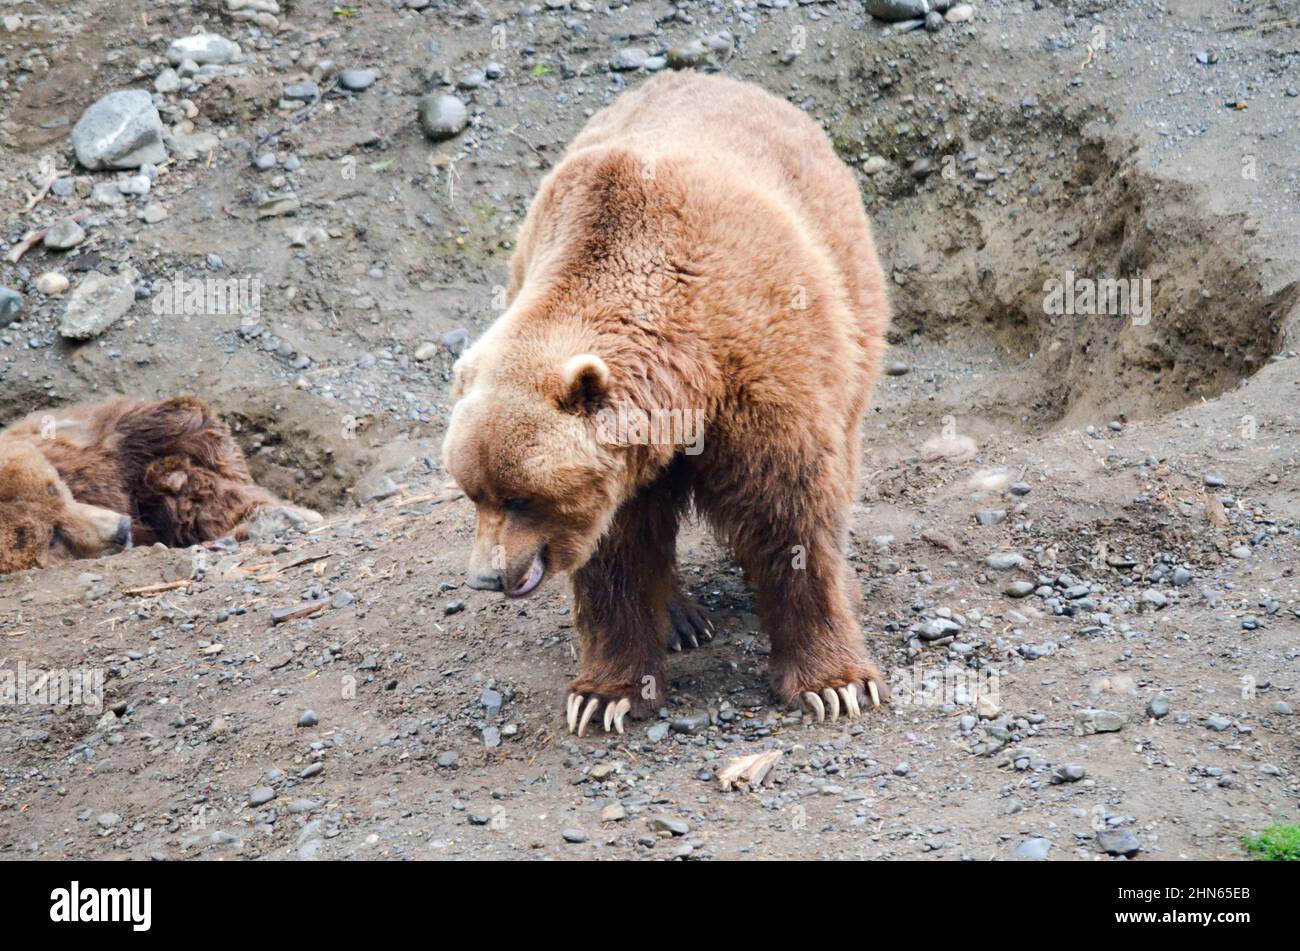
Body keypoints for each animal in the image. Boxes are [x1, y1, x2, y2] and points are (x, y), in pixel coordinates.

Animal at [441, 73, 891, 736]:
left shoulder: (760, 372)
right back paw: (681, 619)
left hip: (850, 296)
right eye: (472, 492)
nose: (486, 578)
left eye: (521, 497)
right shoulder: (620, 470)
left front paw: (834, 683)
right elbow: (619, 554)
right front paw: (605, 695)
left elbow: (791, 512)